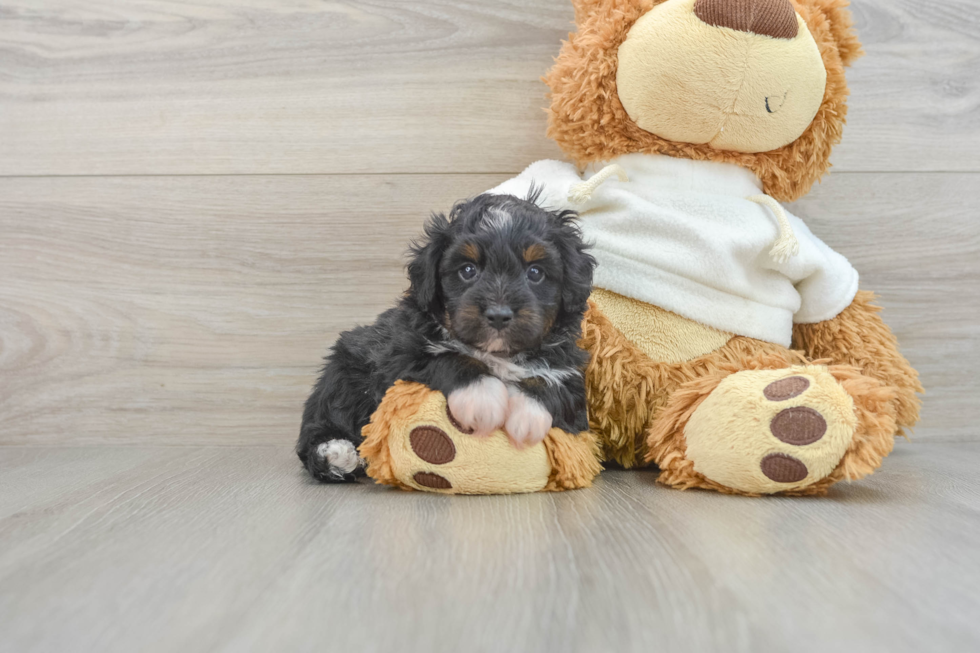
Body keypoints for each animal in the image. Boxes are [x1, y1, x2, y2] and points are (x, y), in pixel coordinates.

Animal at [294, 191, 592, 482]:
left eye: (535, 272)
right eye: (468, 270)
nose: (498, 314)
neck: (497, 353)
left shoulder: (570, 369)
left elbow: (555, 383)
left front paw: (528, 414)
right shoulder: (399, 356)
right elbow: (448, 357)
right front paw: (481, 397)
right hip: (341, 372)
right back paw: (336, 453)